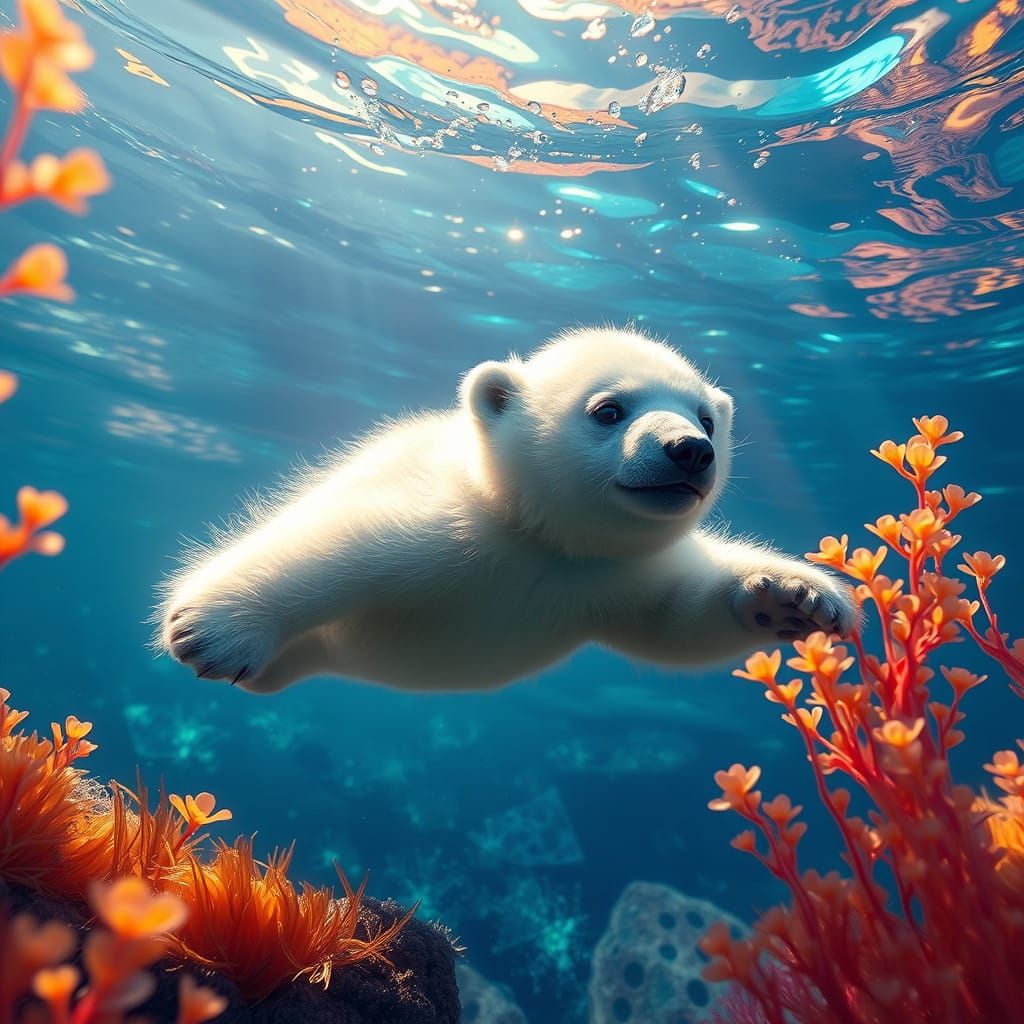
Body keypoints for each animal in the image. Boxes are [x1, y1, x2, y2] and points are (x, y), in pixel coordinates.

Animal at [157, 326, 856, 694]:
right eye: (609, 409)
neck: (537, 538)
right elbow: (341, 540)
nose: (690, 450)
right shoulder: (451, 524)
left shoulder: (607, 576)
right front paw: (214, 632)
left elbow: (677, 617)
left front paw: (795, 598)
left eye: (707, 418)